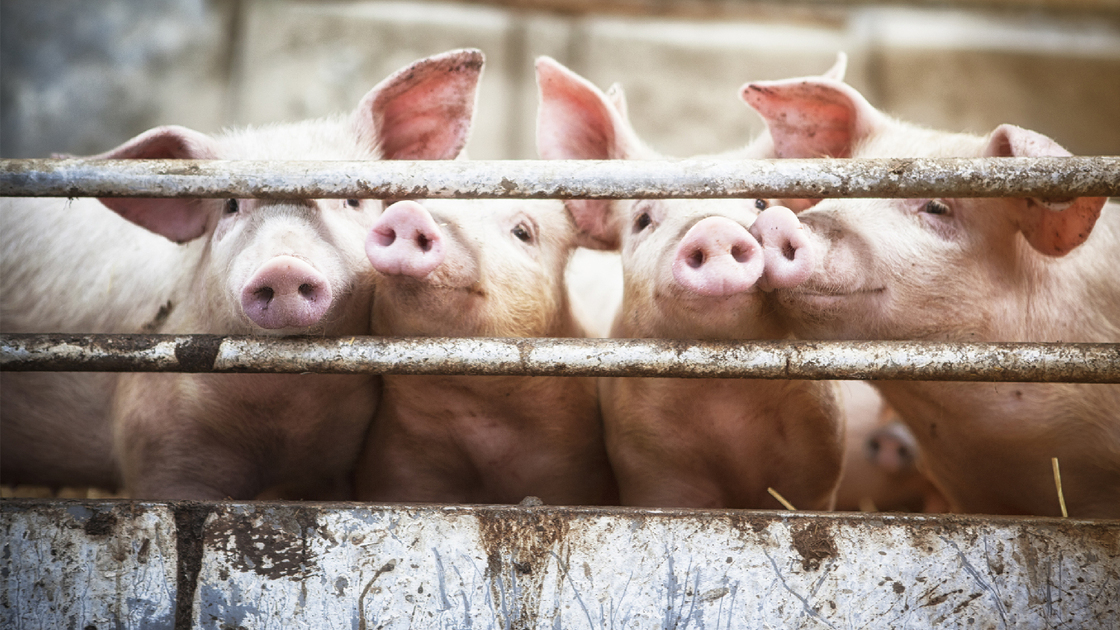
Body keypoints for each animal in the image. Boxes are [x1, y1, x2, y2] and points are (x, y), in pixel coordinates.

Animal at [530, 52, 842, 504]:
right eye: (643, 219)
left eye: (761, 202)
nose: (714, 228)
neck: (726, 400)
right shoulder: (649, 465)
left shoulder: (820, 460)